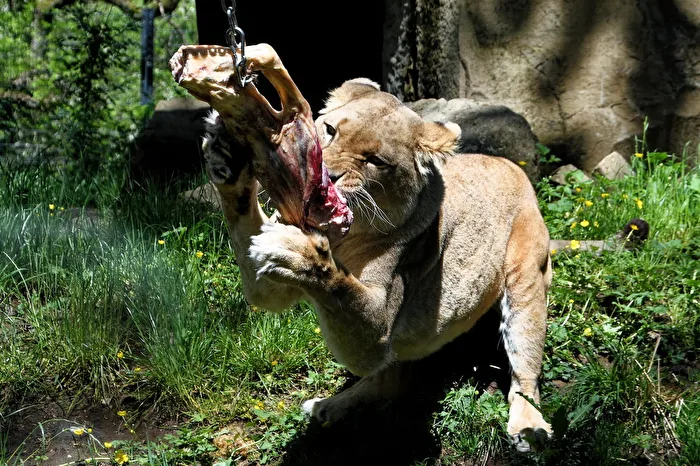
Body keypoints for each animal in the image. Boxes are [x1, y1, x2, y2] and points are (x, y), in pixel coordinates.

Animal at [203, 78, 553, 452]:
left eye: (375, 161)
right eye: (330, 130)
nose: (329, 177)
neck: (340, 236)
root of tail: (514, 166)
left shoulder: (376, 332)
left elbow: (340, 286)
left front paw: (300, 251)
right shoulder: (270, 282)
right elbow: (248, 235)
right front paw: (226, 154)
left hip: (525, 285)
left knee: (525, 373)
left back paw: (529, 428)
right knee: (390, 382)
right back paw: (328, 407)